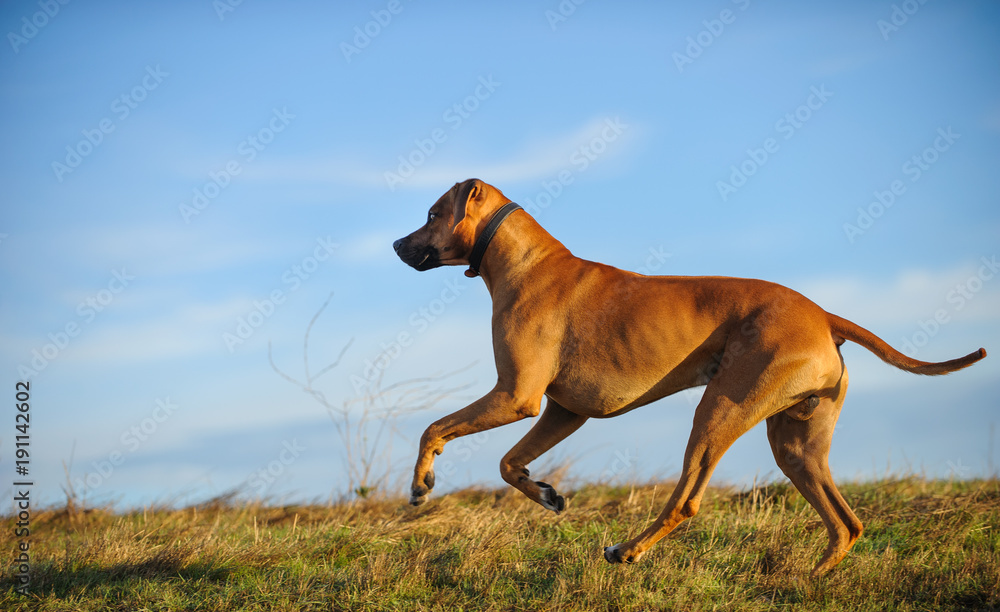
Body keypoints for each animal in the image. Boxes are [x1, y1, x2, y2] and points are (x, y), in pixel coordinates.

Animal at [390, 178, 984, 580]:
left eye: (432, 213)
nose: (395, 245)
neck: (522, 259)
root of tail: (823, 316)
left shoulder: (516, 397)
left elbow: (434, 428)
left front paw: (421, 483)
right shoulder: (562, 410)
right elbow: (509, 464)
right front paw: (545, 494)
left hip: (719, 409)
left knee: (687, 500)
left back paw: (628, 550)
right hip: (797, 445)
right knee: (847, 523)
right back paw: (810, 578)